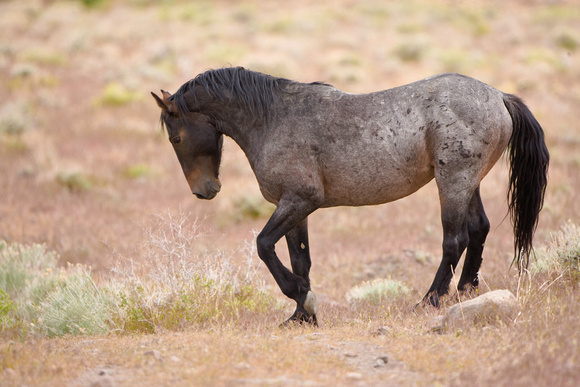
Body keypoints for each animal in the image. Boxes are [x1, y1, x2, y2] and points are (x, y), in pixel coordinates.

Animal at [151, 67, 548, 328]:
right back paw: (466, 293)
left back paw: (429, 301)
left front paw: (300, 297)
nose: (204, 190)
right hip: (468, 183)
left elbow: (264, 246)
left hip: (453, 181)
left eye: (176, 138)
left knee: (455, 239)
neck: (274, 119)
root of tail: (499, 96)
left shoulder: (298, 201)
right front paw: (302, 315)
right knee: (479, 229)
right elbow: (300, 260)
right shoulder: (295, 208)